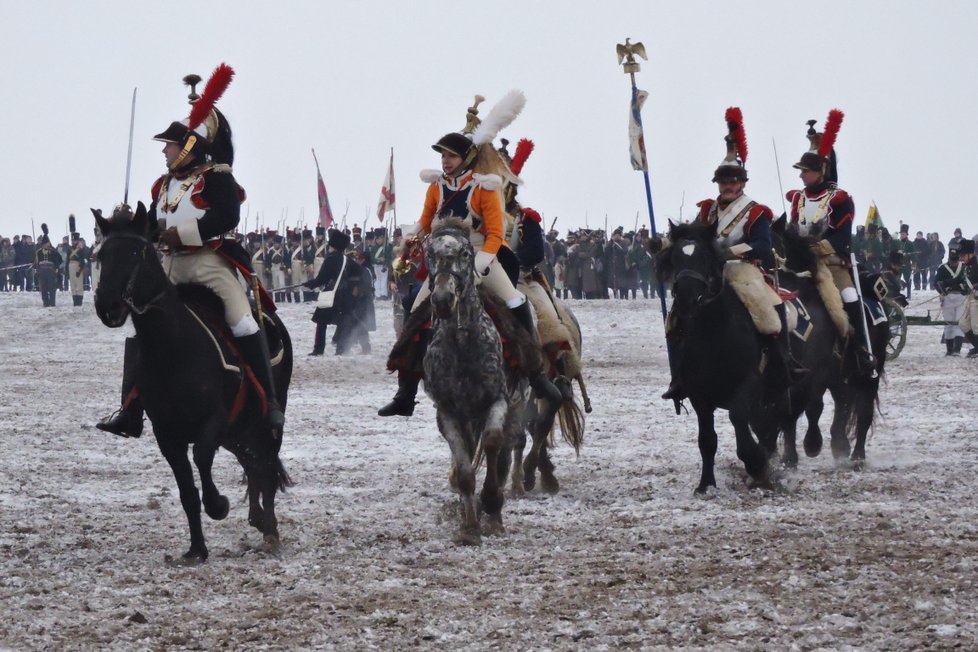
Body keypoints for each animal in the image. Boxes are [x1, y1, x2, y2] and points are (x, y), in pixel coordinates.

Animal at [422, 219, 524, 544]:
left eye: (466, 253)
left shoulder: (498, 401)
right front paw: (468, 526)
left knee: (505, 453)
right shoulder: (447, 412)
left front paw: (490, 504)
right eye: (429, 253)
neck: (463, 341)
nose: (443, 299)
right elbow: (464, 467)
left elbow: (492, 442)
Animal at [656, 220, 776, 494]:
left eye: (704, 257)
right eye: (675, 257)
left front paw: (756, 464)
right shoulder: (699, 395)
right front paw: (706, 485)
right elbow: (707, 440)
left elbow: (737, 417)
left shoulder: (748, 384)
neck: (714, 332)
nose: (686, 299)